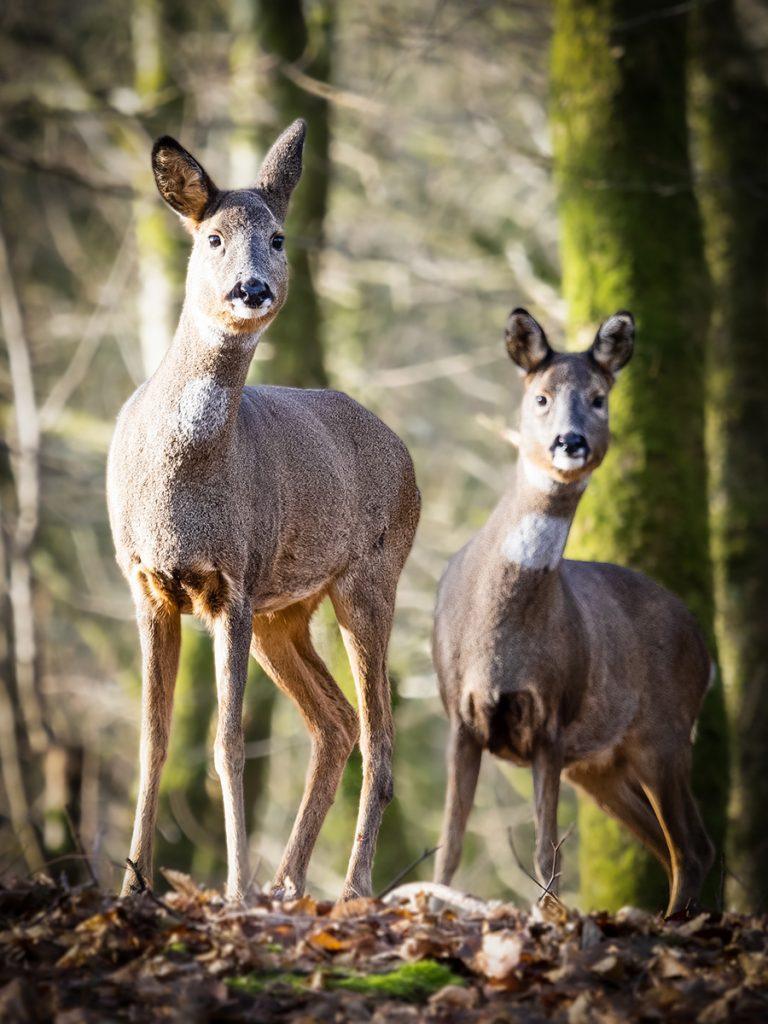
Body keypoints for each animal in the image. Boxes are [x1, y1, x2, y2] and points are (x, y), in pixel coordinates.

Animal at [107, 120, 420, 903]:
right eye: (213, 236)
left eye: (277, 236)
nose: (252, 289)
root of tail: (404, 452)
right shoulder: (145, 584)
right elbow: (153, 742)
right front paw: (131, 889)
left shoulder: (234, 583)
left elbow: (227, 743)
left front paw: (234, 890)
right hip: (290, 610)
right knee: (336, 722)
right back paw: (288, 881)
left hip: (370, 577)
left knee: (379, 735)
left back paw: (349, 886)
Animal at [432, 308, 714, 917]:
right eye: (540, 397)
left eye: (599, 397)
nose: (571, 441)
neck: (499, 642)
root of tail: (707, 655)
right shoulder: (460, 716)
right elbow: (450, 846)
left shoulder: (553, 719)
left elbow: (546, 853)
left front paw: (551, 918)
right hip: (604, 767)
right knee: (674, 846)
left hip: (664, 731)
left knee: (691, 848)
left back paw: (675, 922)